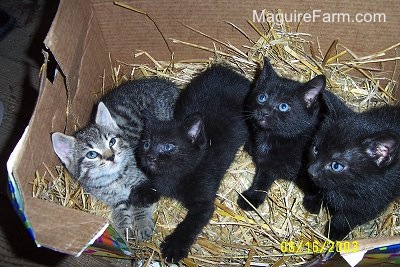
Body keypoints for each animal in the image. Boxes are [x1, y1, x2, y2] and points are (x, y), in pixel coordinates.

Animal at [52, 77, 180, 241]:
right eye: (91, 154)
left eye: (112, 142)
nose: (111, 156)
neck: (115, 179)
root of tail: (168, 85)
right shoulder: (115, 199)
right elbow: (120, 209)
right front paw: (123, 228)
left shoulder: (144, 182)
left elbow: (140, 204)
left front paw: (142, 223)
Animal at [131, 65, 250, 264]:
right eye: (146, 144)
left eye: (168, 147)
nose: (149, 157)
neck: (178, 174)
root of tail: (231, 72)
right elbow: (155, 186)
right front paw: (142, 192)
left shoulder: (204, 203)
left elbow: (190, 224)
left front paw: (174, 246)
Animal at [239, 58, 336, 211]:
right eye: (262, 97)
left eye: (283, 106)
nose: (263, 112)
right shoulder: (267, 164)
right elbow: (261, 180)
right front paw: (252, 197)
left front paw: (314, 202)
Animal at [306, 104, 400, 241]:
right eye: (315, 150)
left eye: (336, 166)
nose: (311, 170)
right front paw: (312, 200)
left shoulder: (374, 201)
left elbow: (347, 218)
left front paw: (334, 232)